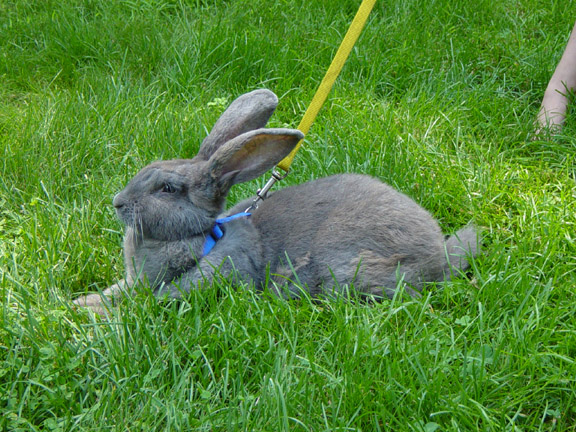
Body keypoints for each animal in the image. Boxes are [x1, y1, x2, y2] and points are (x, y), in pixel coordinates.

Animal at [74, 89, 480, 316]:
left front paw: (92, 320)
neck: (203, 239)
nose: (118, 203)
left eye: (167, 189)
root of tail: (437, 255)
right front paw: (80, 304)